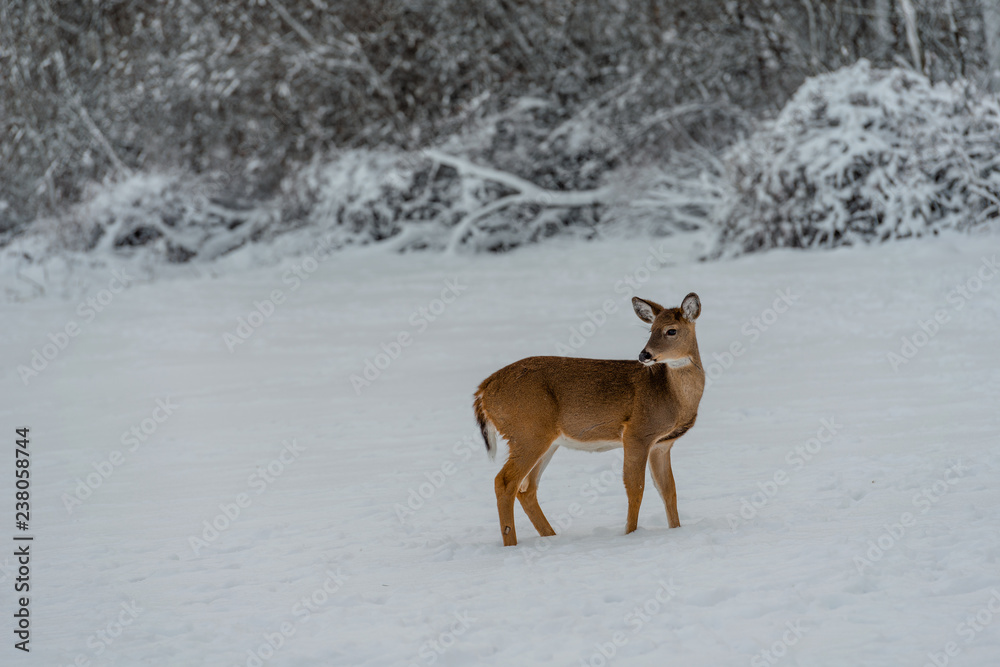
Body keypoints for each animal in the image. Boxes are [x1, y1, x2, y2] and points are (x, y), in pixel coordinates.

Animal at [473, 293, 705, 546]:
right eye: (651, 329)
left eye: (671, 330)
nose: (644, 355)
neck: (672, 397)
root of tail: (484, 390)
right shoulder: (637, 432)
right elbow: (635, 487)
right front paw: (630, 534)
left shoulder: (662, 445)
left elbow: (668, 490)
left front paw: (676, 531)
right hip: (526, 431)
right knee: (505, 482)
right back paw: (512, 544)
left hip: (545, 440)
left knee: (527, 489)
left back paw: (551, 536)